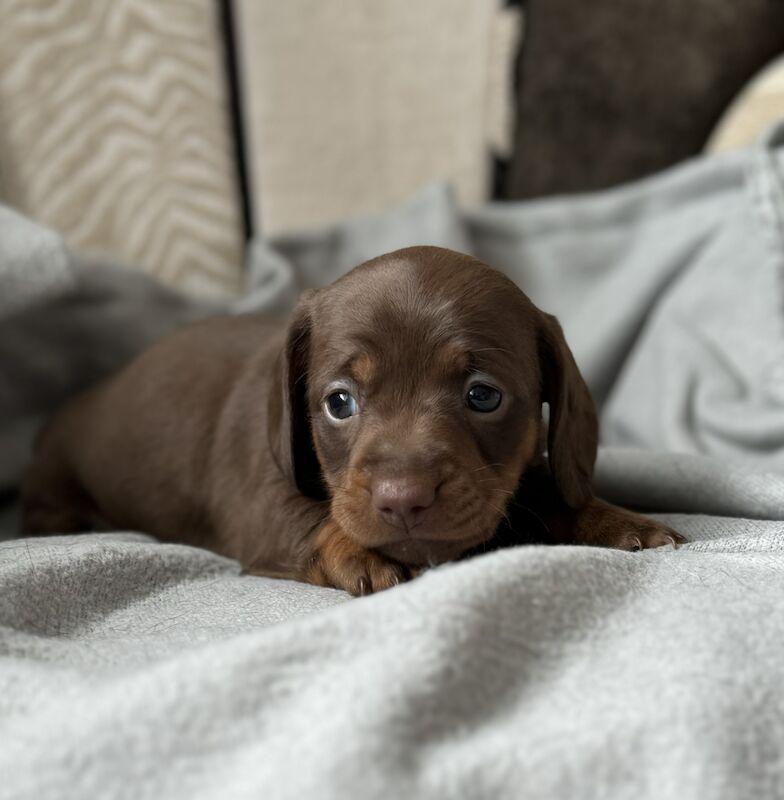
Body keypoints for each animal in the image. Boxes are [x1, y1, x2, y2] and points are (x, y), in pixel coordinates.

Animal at [23, 247, 688, 592]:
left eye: (483, 396)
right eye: (339, 402)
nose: (402, 499)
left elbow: (549, 483)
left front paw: (610, 518)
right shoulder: (262, 502)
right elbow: (313, 519)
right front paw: (362, 553)